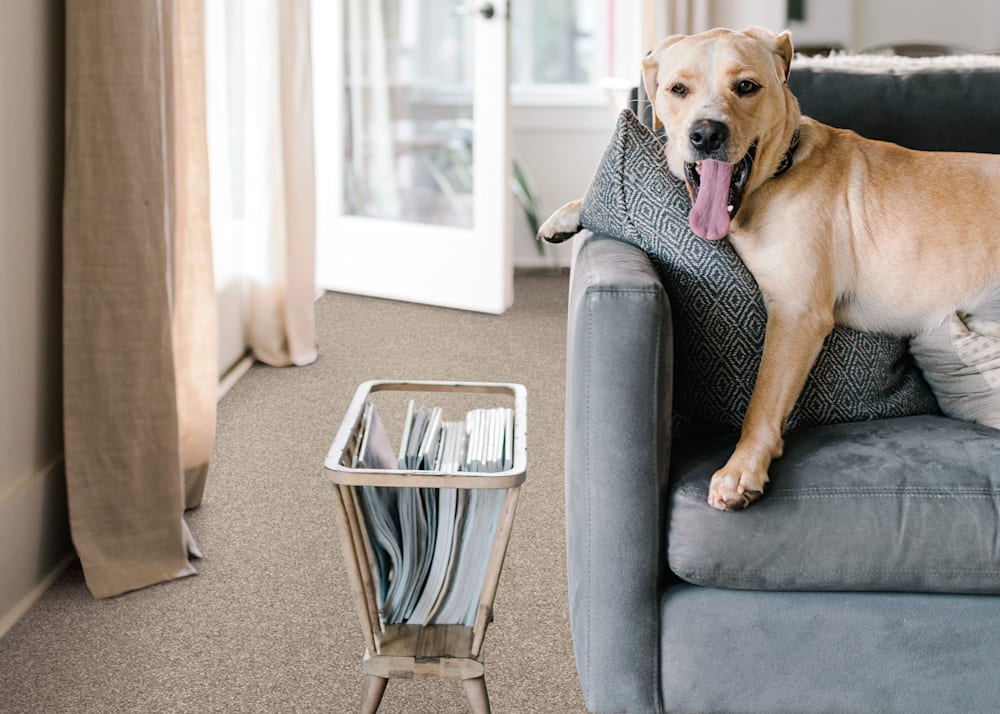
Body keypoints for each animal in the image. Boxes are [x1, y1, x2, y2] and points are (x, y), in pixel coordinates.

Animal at [544, 26, 1000, 506]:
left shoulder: (797, 313)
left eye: (746, 86)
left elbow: (762, 399)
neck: (775, 176)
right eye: (678, 90)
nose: (705, 134)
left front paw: (742, 468)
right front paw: (567, 214)